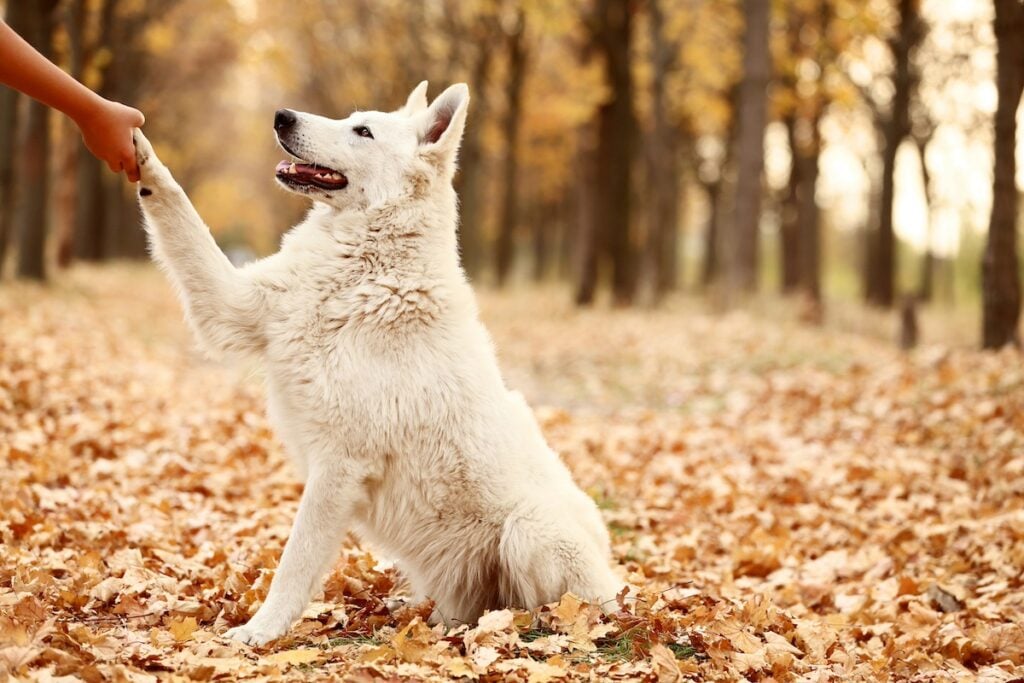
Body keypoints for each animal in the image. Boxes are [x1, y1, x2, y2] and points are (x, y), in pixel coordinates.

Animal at [132, 81, 618, 647]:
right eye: (350, 117)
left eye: (362, 131)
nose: (281, 116)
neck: (365, 267)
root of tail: (619, 590)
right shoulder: (235, 305)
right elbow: (181, 215)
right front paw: (139, 153)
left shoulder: (339, 465)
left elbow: (295, 562)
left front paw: (260, 632)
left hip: (530, 532)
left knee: (545, 606)